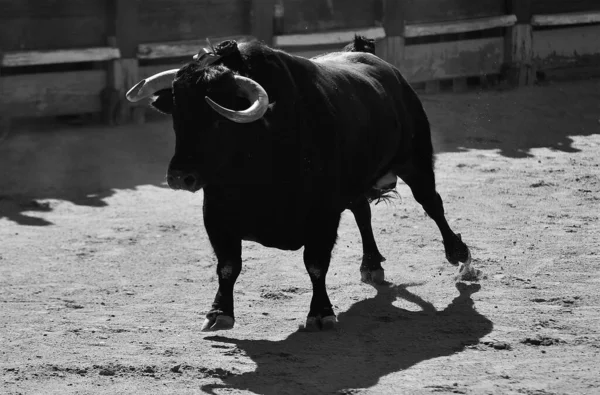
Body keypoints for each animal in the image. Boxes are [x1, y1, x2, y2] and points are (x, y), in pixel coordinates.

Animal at [125, 37, 474, 332]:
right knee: (363, 212)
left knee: (431, 202)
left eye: (217, 119)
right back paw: (372, 264)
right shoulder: (216, 214)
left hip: (415, 160)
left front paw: (321, 313)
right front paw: (219, 312)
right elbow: (228, 266)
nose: (179, 177)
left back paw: (459, 253)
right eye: (177, 115)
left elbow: (316, 265)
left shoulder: (323, 215)